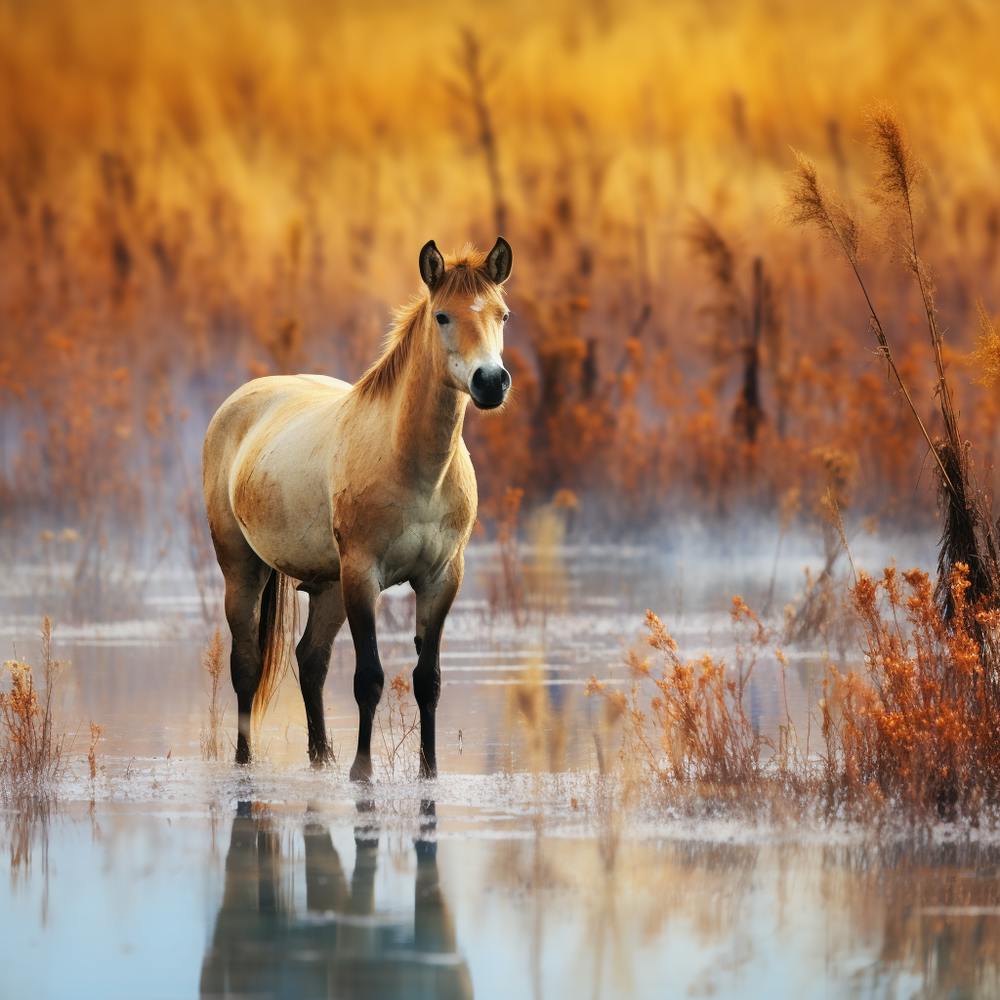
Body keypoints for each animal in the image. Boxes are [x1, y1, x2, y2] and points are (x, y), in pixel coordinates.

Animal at [202, 237, 513, 780]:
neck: (414, 467)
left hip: (328, 587)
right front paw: (361, 771)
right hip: (244, 570)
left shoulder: (441, 579)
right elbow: (368, 677)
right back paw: (245, 763)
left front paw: (429, 772)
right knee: (247, 665)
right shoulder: (364, 575)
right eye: (442, 316)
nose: (491, 382)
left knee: (311, 660)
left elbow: (428, 680)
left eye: (503, 314)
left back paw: (320, 758)